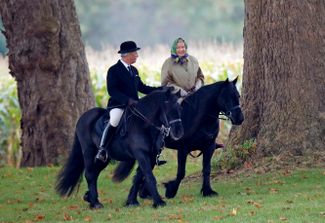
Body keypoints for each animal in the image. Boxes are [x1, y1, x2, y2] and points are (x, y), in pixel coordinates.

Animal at [121, 77, 243, 205]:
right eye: (227, 97)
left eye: (238, 95)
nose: (239, 118)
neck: (198, 117)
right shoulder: (183, 149)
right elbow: (181, 173)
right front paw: (171, 190)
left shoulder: (209, 147)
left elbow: (206, 169)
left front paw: (207, 191)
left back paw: (140, 195)